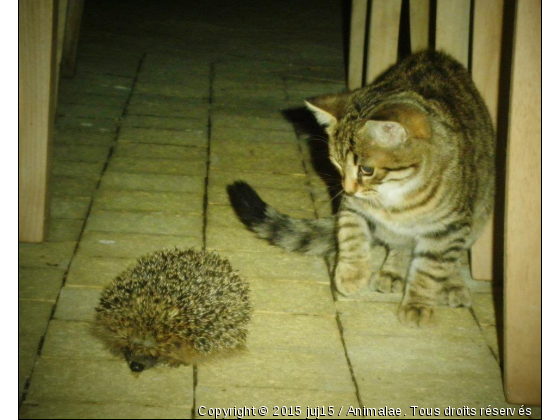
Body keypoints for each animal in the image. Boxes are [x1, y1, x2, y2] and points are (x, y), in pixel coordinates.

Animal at [228, 50, 494, 326]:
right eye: (336, 163)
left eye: (367, 169)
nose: (347, 187)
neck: (397, 194)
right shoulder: (353, 207)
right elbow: (351, 234)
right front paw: (351, 273)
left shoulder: (449, 225)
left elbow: (431, 267)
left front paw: (418, 303)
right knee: (399, 245)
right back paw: (392, 271)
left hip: (477, 218)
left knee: (451, 257)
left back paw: (453, 284)